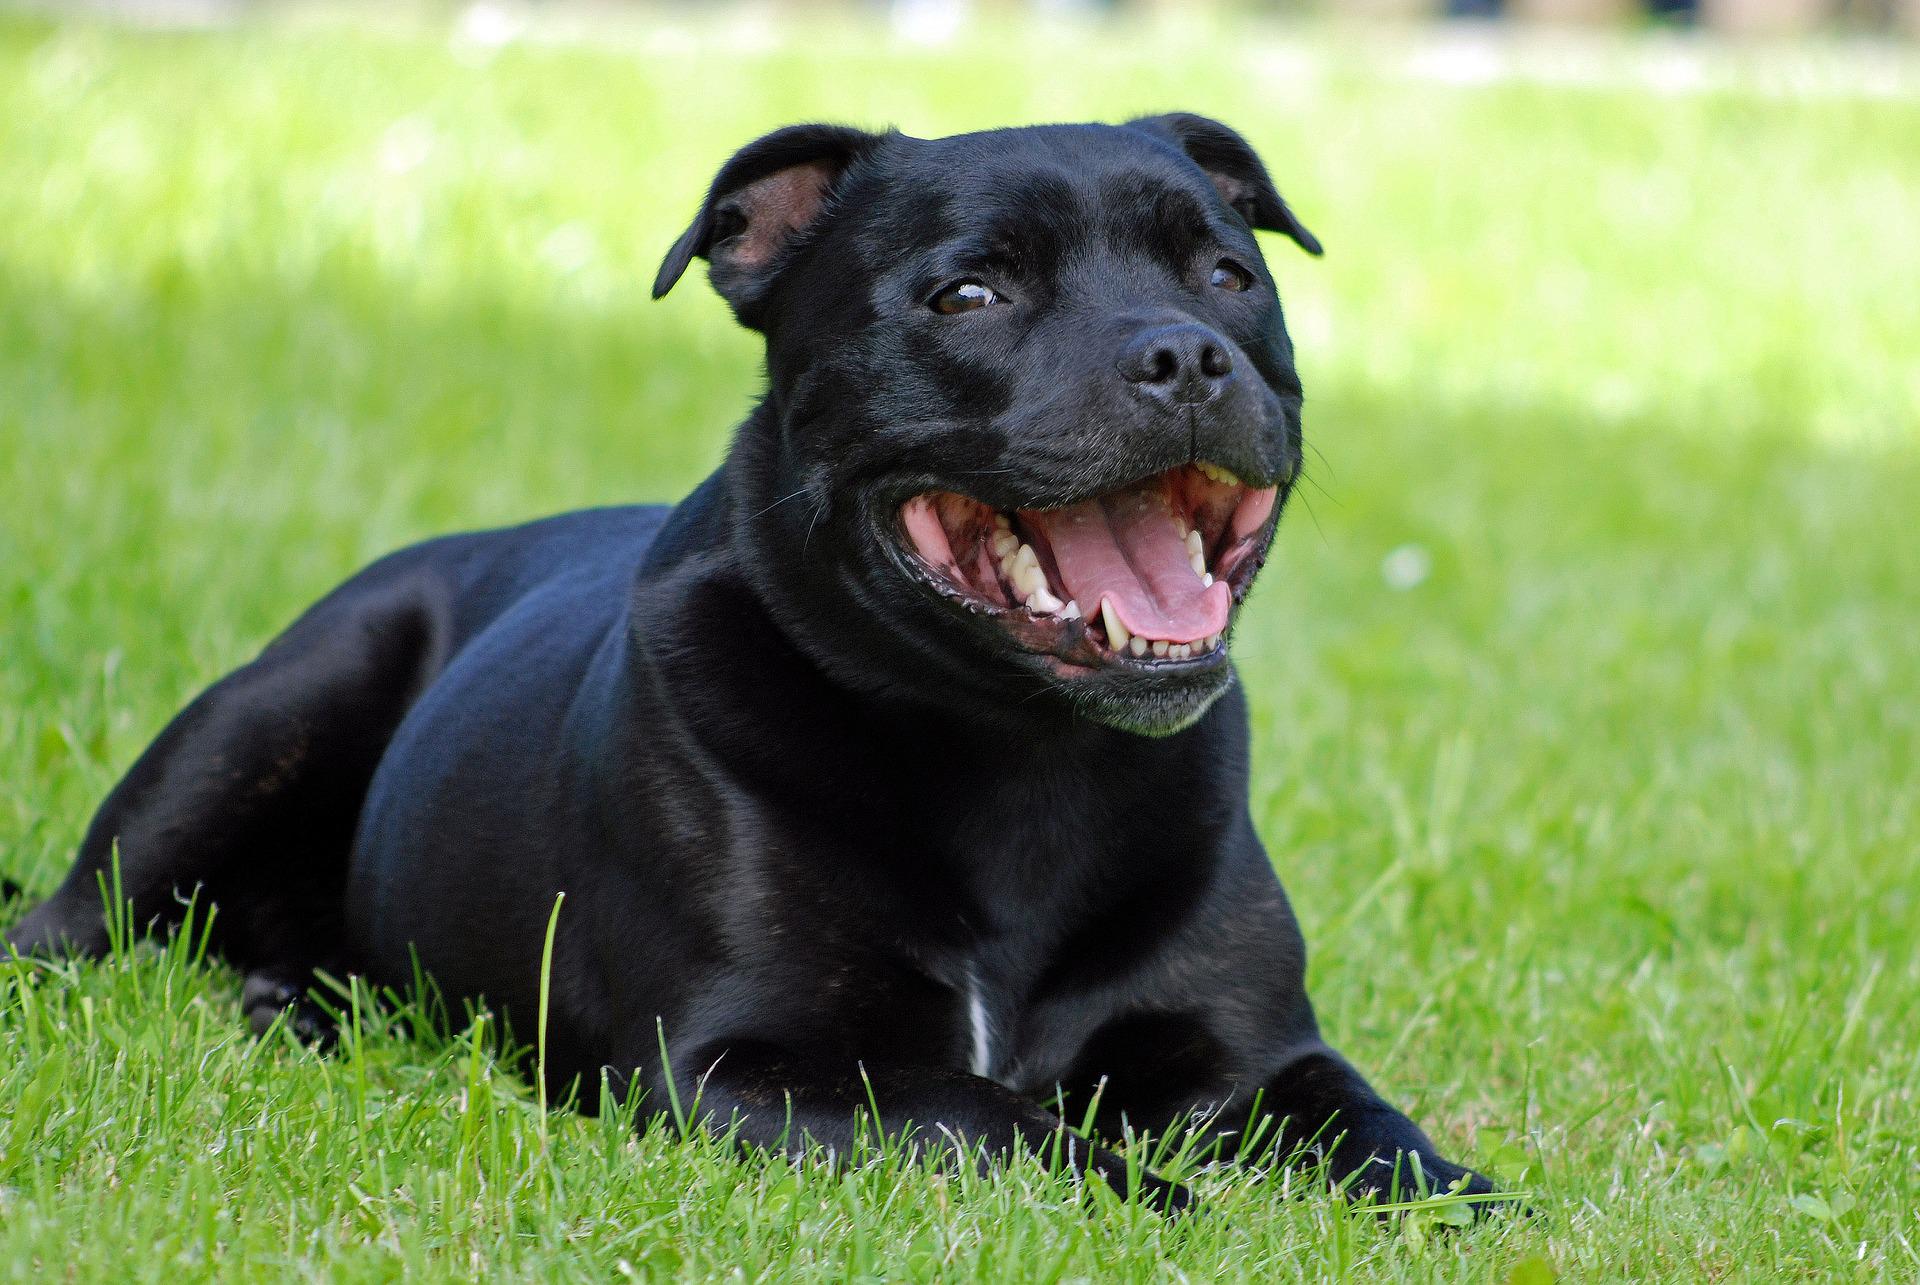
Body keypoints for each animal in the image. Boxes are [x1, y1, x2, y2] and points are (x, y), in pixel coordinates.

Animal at [11, 115, 1497, 1206]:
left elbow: (1392, 1149)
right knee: (75, 925)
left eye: (1232, 277)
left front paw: (1468, 1211)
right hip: (257, 722)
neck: (1023, 756)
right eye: (969, 292)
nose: (1186, 352)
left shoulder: (1255, 1056)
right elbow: (1001, 1122)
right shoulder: (742, 1066)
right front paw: (1172, 1207)